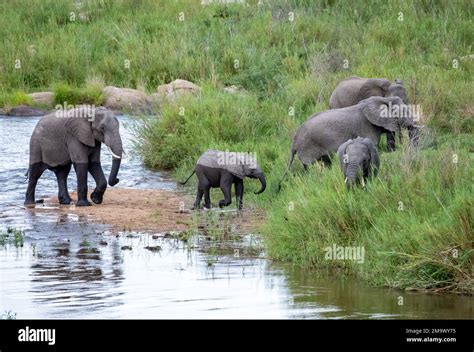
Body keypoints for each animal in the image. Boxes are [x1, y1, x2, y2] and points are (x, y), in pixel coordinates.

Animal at [280, 96, 416, 188]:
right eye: (405, 112)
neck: (383, 99)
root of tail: (294, 141)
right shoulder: (367, 127)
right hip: (308, 148)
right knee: (311, 167)